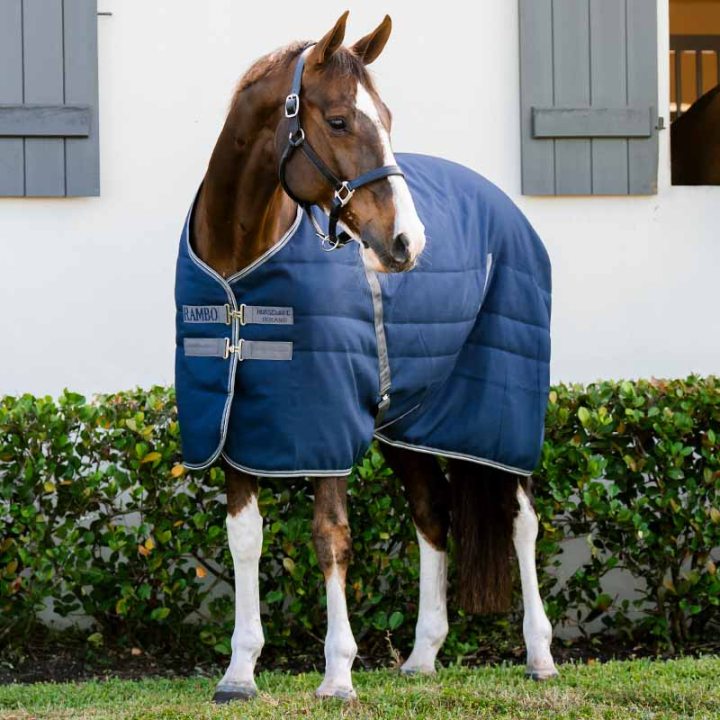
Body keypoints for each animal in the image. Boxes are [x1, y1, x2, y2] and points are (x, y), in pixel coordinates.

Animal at [175, 12, 558, 703]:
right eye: (337, 121)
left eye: (387, 116)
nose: (408, 241)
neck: (240, 278)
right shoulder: (233, 424)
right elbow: (245, 540)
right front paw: (239, 672)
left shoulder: (326, 423)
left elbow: (331, 536)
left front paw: (338, 673)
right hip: (408, 423)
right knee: (433, 514)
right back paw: (423, 656)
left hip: (501, 413)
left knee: (521, 519)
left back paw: (540, 656)